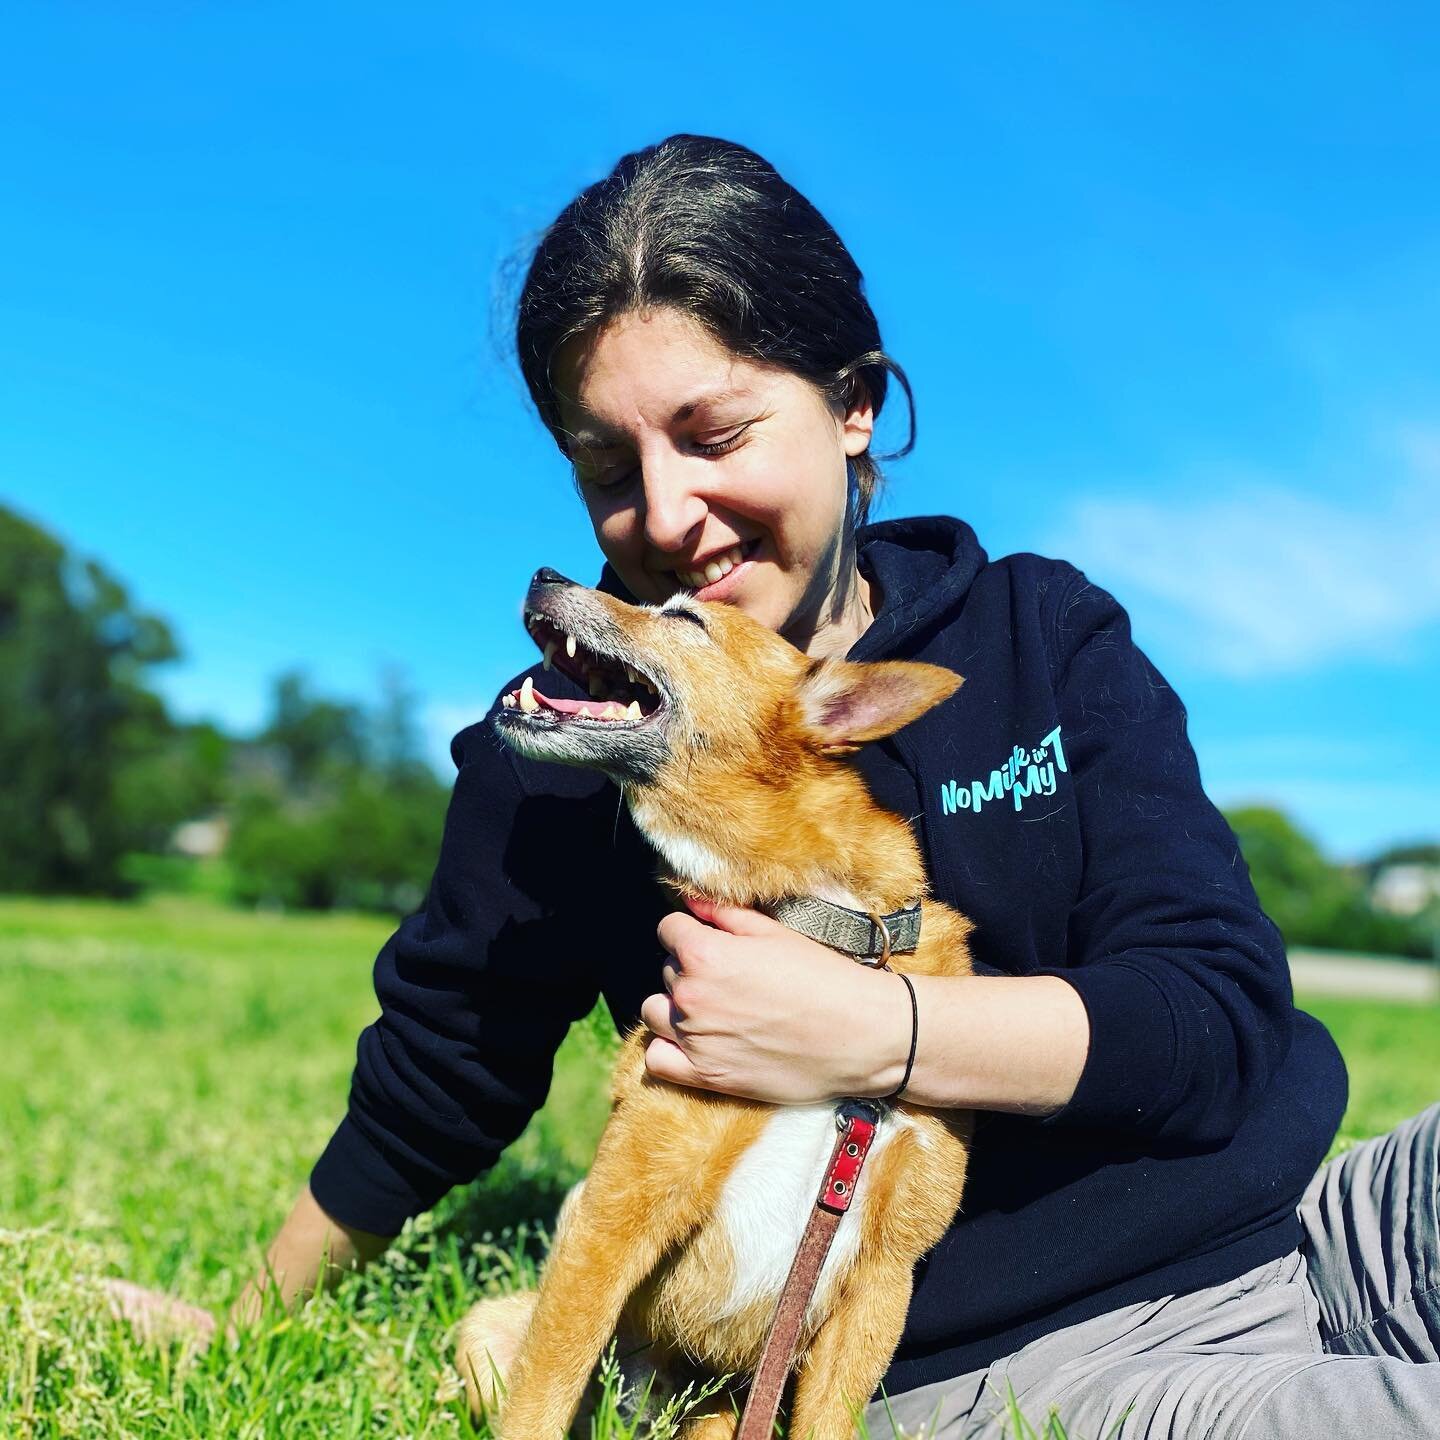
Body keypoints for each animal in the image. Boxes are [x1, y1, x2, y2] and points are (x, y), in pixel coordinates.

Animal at [457, 567, 979, 1434]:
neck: (819, 924)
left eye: (687, 619)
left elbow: (827, 1422)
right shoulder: (614, 1213)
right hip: (488, 1330)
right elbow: (543, 1394)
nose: (544, 574)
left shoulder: (881, 1281)